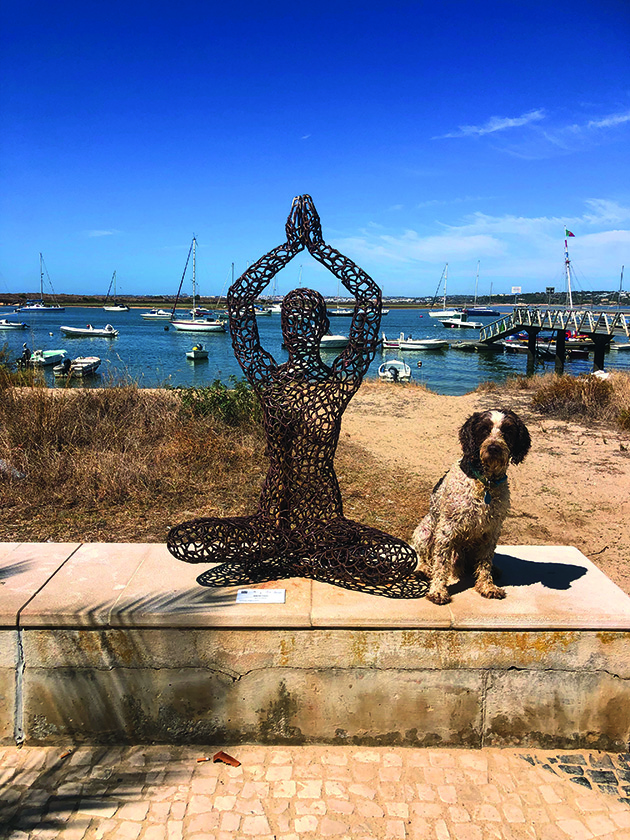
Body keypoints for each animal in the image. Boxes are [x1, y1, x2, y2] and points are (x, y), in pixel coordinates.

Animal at [410, 408, 532, 600]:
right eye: (484, 429)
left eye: (508, 430)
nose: (494, 448)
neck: (486, 483)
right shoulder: (447, 529)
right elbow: (441, 563)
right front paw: (437, 590)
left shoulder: (491, 531)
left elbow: (485, 563)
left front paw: (487, 586)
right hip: (425, 531)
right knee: (426, 557)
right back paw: (423, 569)